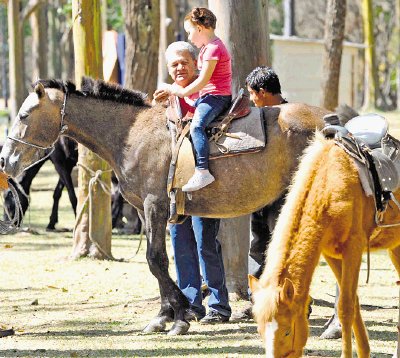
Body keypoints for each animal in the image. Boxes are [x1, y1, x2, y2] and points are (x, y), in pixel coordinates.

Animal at [0, 77, 330, 336]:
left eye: (25, 115)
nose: (5, 160)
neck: (132, 134)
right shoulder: (145, 211)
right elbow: (158, 260)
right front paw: (163, 315)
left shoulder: (154, 205)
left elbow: (155, 260)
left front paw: (181, 314)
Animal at [250, 132, 400, 358]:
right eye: (259, 330)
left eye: (287, 331)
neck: (329, 184)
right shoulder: (332, 254)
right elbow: (354, 303)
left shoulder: (353, 249)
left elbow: (345, 307)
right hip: (395, 249)